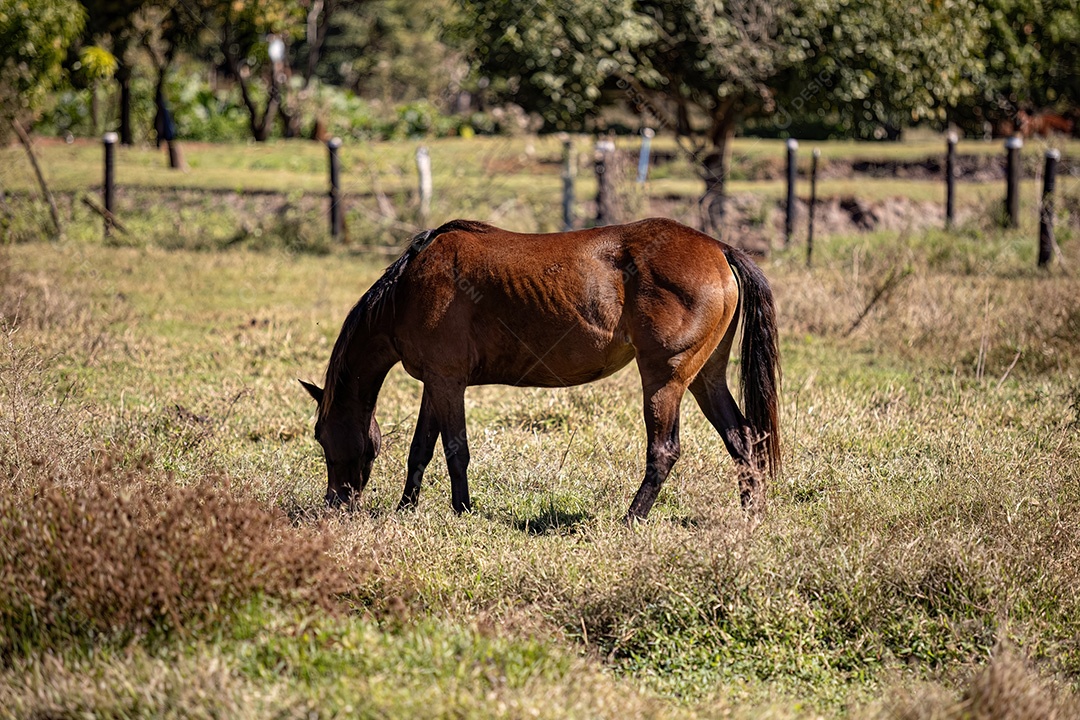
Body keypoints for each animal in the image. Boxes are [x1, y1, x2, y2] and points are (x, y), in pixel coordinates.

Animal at [300, 217, 781, 523]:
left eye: (321, 436)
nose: (335, 504)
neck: (408, 288)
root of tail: (719, 249)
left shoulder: (447, 382)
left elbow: (456, 451)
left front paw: (462, 511)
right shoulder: (435, 384)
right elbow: (421, 450)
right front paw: (406, 509)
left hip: (665, 380)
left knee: (664, 451)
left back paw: (630, 518)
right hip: (705, 378)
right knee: (743, 440)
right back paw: (752, 516)